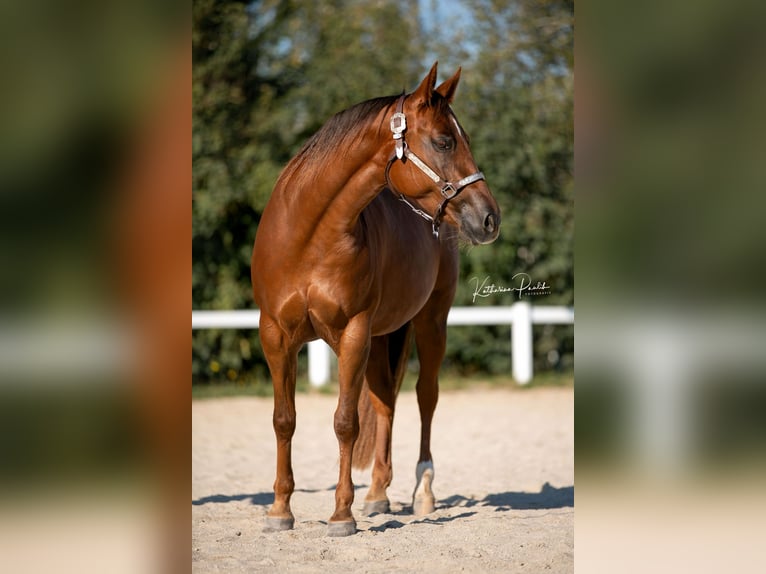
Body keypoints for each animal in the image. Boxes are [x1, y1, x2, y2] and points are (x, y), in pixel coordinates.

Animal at [254, 65, 504, 536]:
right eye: (444, 141)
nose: (489, 218)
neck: (309, 237)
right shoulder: (276, 336)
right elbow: (283, 420)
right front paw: (279, 511)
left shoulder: (353, 333)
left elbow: (345, 422)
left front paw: (340, 515)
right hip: (383, 334)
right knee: (385, 400)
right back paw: (377, 495)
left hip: (430, 322)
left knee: (425, 397)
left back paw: (421, 492)